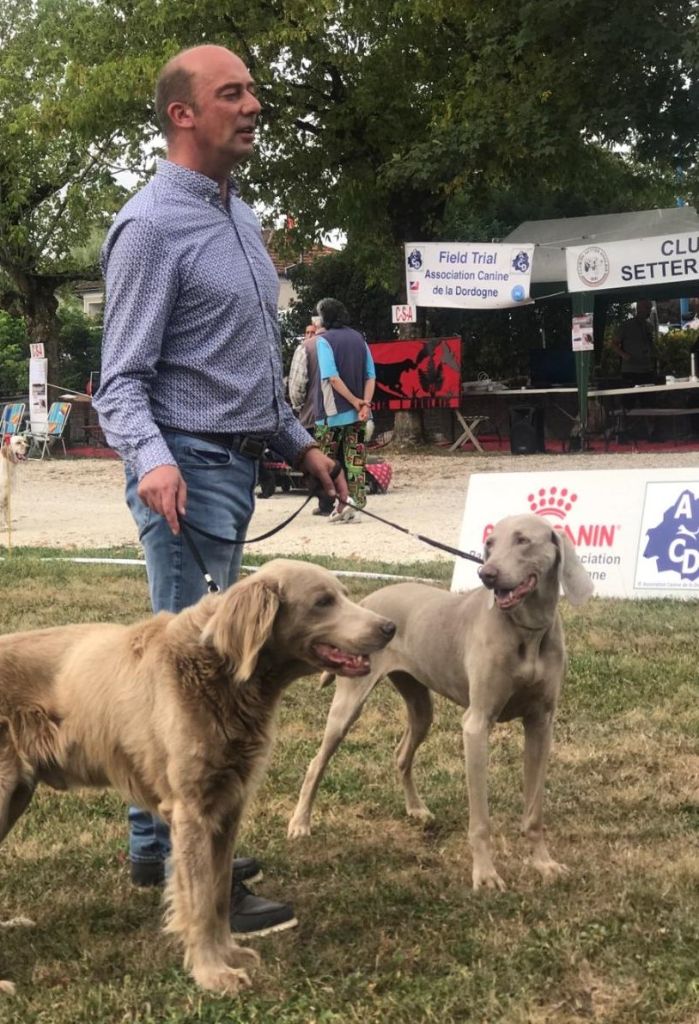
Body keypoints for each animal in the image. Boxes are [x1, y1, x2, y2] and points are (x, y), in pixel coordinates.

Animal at [290, 512, 597, 888]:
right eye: (489, 544)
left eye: (523, 540)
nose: (487, 574)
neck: (528, 633)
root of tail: (367, 604)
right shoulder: (476, 725)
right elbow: (480, 819)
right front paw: (486, 875)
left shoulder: (541, 723)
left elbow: (534, 809)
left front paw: (543, 863)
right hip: (348, 705)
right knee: (317, 761)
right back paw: (300, 823)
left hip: (420, 705)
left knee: (401, 753)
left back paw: (416, 809)